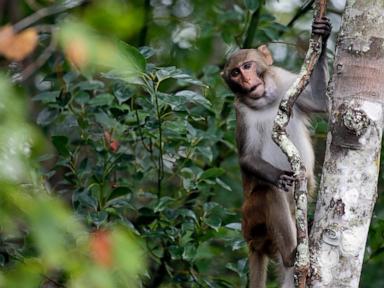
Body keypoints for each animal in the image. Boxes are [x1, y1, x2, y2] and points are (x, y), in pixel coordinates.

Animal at [220, 18, 332, 288]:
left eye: (248, 66)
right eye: (235, 73)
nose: (246, 80)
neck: (265, 100)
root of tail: (251, 241)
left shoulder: (285, 81)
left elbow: (320, 102)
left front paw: (322, 35)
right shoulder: (241, 112)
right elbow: (247, 158)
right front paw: (279, 175)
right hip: (253, 219)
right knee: (268, 193)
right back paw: (292, 254)